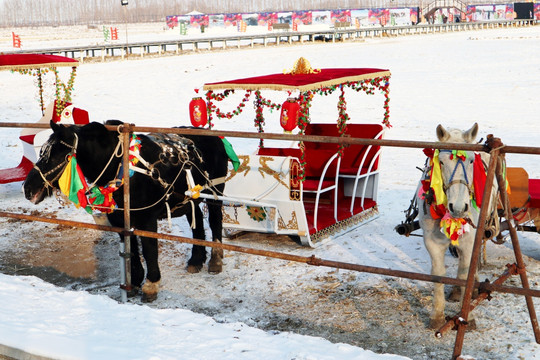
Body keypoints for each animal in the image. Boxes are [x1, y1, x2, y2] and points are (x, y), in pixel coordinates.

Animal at [23, 121, 228, 300]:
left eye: (57, 156)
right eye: (41, 152)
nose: (28, 188)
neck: (121, 167)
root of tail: (213, 136)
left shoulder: (147, 219)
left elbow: (149, 249)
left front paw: (151, 285)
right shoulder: (120, 219)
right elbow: (132, 250)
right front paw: (134, 283)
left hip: (215, 193)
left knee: (215, 220)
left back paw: (215, 260)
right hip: (189, 198)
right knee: (197, 220)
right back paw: (196, 260)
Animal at [418, 123, 498, 330]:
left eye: (470, 161)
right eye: (441, 162)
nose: (459, 208)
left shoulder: (469, 241)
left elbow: (464, 275)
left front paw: (466, 316)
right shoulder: (432, 242)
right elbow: (438, 275)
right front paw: (437, 316)